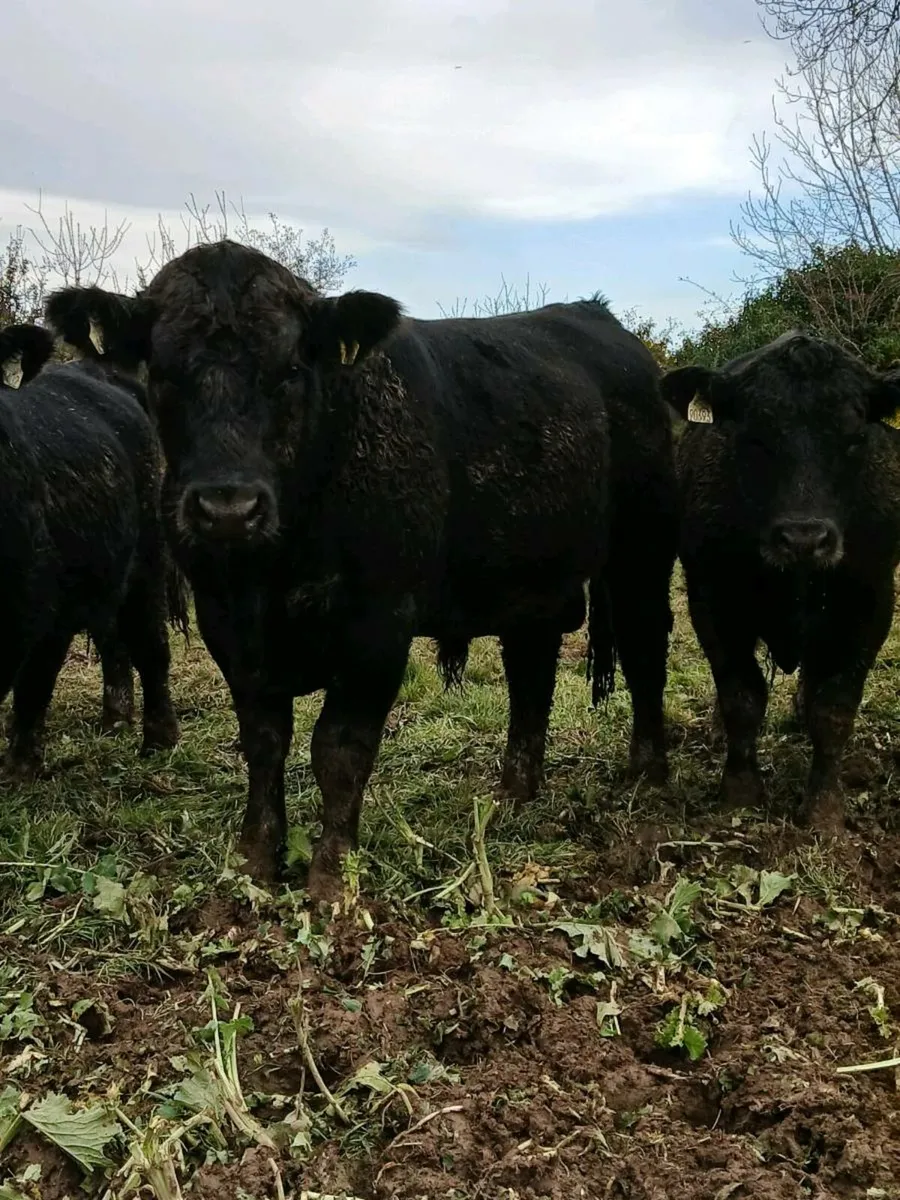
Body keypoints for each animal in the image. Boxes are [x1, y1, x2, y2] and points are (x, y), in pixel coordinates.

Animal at [0, 322, 179, 772]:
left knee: (149, 643)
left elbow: (32, 684)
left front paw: (20, 768)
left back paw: (159, 739)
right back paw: (115, 718)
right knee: (112, 639)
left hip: (146, 559)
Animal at [46, 239, 677, 902]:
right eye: (164, 372)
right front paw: (254, 860)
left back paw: (646, 772)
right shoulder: (227, 624)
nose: (228, 508)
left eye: (291, 371)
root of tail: (598, 318)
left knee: (643, 645)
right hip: (531, 577)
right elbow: (263, 742)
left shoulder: (379, 625)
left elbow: (340, 750)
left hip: (643, 546)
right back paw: (512, 793)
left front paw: (331, 878)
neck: (273, 573)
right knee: (531, 669)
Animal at [662, 330, 900, 832]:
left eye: (855, 437)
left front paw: (824, 810)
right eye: (754, 437)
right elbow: (741, 696)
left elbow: (834, 707)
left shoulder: (871, 602)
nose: (803, 537)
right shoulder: (712, 598)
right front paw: (740, 793)